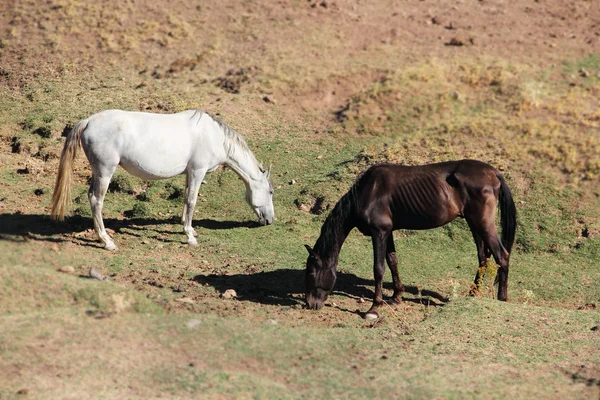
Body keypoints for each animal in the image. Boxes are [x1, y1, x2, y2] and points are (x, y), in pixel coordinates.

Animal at [50, 108, 276, 248]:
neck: (215, 137)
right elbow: (192, 201)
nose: (270, 220)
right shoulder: (198, 171)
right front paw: (190, 237)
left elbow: (186, 199)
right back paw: (107, 241)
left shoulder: (190, 173)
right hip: (105, 171)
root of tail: (88, 122)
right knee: (97, 200)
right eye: (271, 191)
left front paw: (188, 228)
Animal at [304, 159, 516, 318]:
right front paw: (396, 296)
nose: (310, 304)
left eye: (312, 273)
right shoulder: (387, 232)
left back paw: (502, 298)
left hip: (483, 224)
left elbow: (378, 269)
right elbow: (392, 261)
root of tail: (493, 173)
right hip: (474, 225)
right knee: (483, 258)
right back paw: (472, 294)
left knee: (502, 256)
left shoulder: (379, 232)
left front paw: (374, 308)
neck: (368, 192)